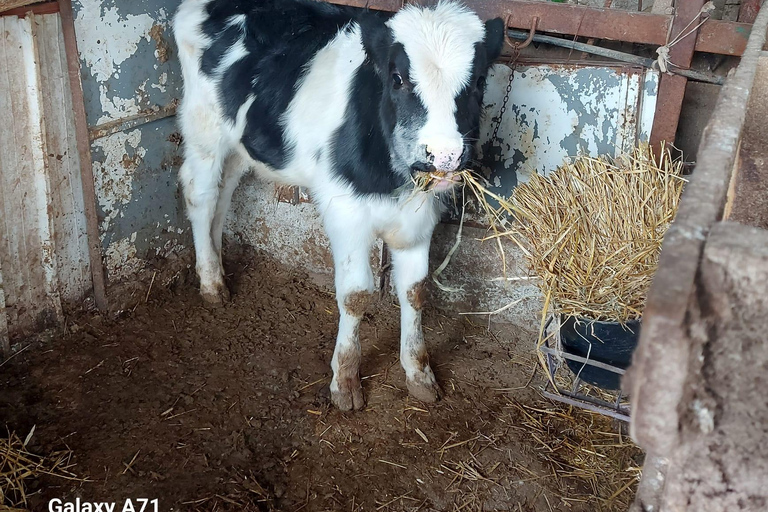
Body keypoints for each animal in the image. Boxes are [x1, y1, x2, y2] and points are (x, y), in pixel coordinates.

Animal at [176, 0, 504, 408]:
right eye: (397, 78)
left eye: (479, 82)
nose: (444, 155)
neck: (389, 177)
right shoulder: (347, 212)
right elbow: (356, 294)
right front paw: (345, 381)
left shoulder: (419, 218)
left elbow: (416, 290)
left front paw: (419, 373)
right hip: (203, 131)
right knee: (201, 197)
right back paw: (211, 284)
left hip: (240, 144)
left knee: (223, 198)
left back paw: (219, 268)